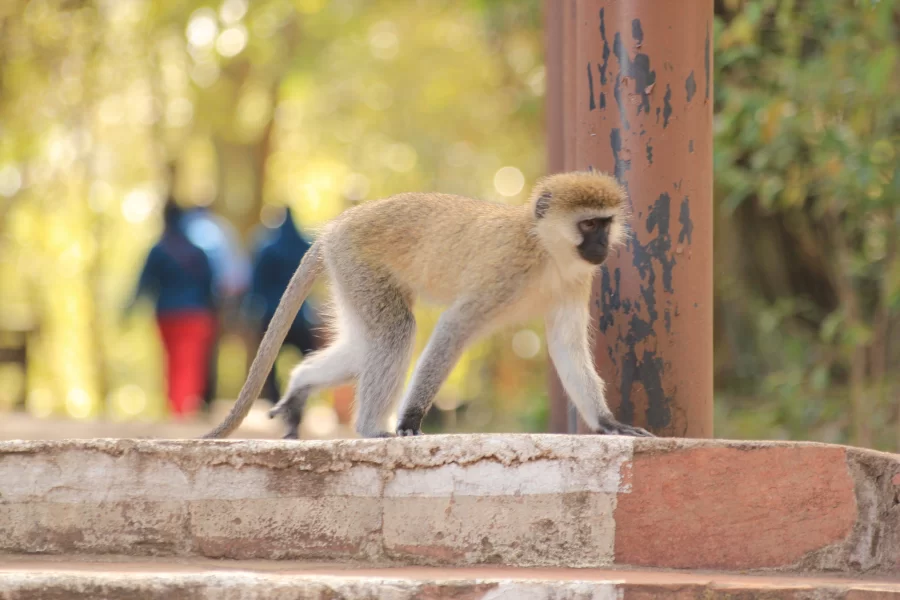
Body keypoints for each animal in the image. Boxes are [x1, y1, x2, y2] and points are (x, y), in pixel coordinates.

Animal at [204, 171, 652, 438]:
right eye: (588, 224)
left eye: (606, 224)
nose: (601, 246)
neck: (546, 249)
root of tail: (336, 227)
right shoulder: (506, 271)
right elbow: (454, 327)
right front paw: (410, 419)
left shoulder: (576, 281)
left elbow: (567, 348)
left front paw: (608, 423)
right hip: (358, 262)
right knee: (394, 333)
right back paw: (373, 429)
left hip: (349, 274)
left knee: (363, 347)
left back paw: (302, 384)